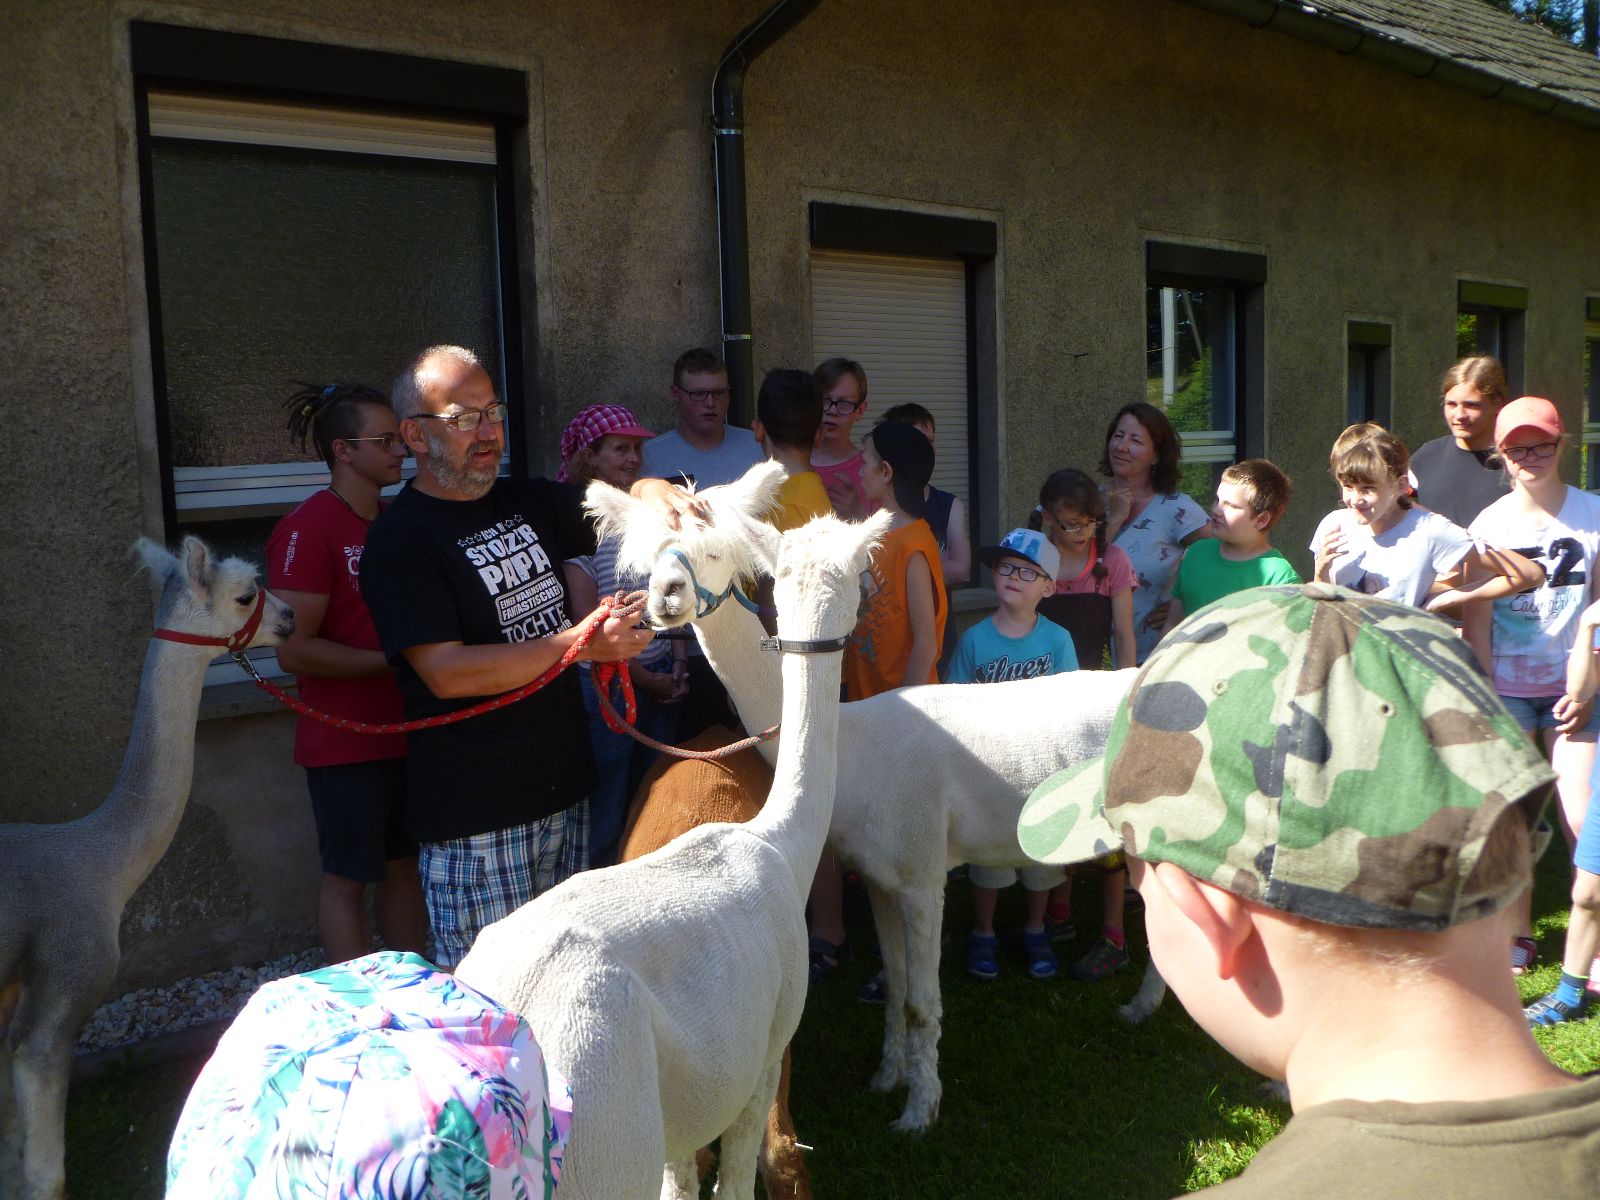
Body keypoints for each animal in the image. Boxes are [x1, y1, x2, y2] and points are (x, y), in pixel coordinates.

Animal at [455, 504, 885, 1200]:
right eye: (865, 572)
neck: (778, 841)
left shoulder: (685, 1107)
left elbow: (684, 1180)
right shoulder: (767, 1048)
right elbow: (745, 1171)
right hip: (604, 1139)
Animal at [590, 462, 1142, 1132]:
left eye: (714, 550)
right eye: (647, 560)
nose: (666, 596)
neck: (854, 749)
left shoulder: (923, 870)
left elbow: (924, 1002)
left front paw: (919, 1114)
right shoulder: (881, 871)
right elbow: (898, 987)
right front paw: (887, 1079)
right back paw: (1143, 1008)